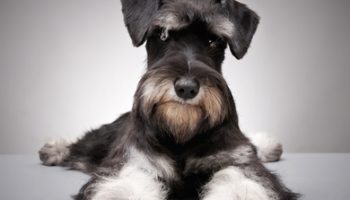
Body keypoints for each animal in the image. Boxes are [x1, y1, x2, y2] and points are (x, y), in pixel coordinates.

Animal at [39, 0, 300, 200]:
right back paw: (53, 149)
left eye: (214, 41)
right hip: (102, 138)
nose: (186, 88)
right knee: (81, 146)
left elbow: (239, 180)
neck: (181, 134)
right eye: (163, 34)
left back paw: (268, 145)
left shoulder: (239, 163)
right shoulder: (133, 162)